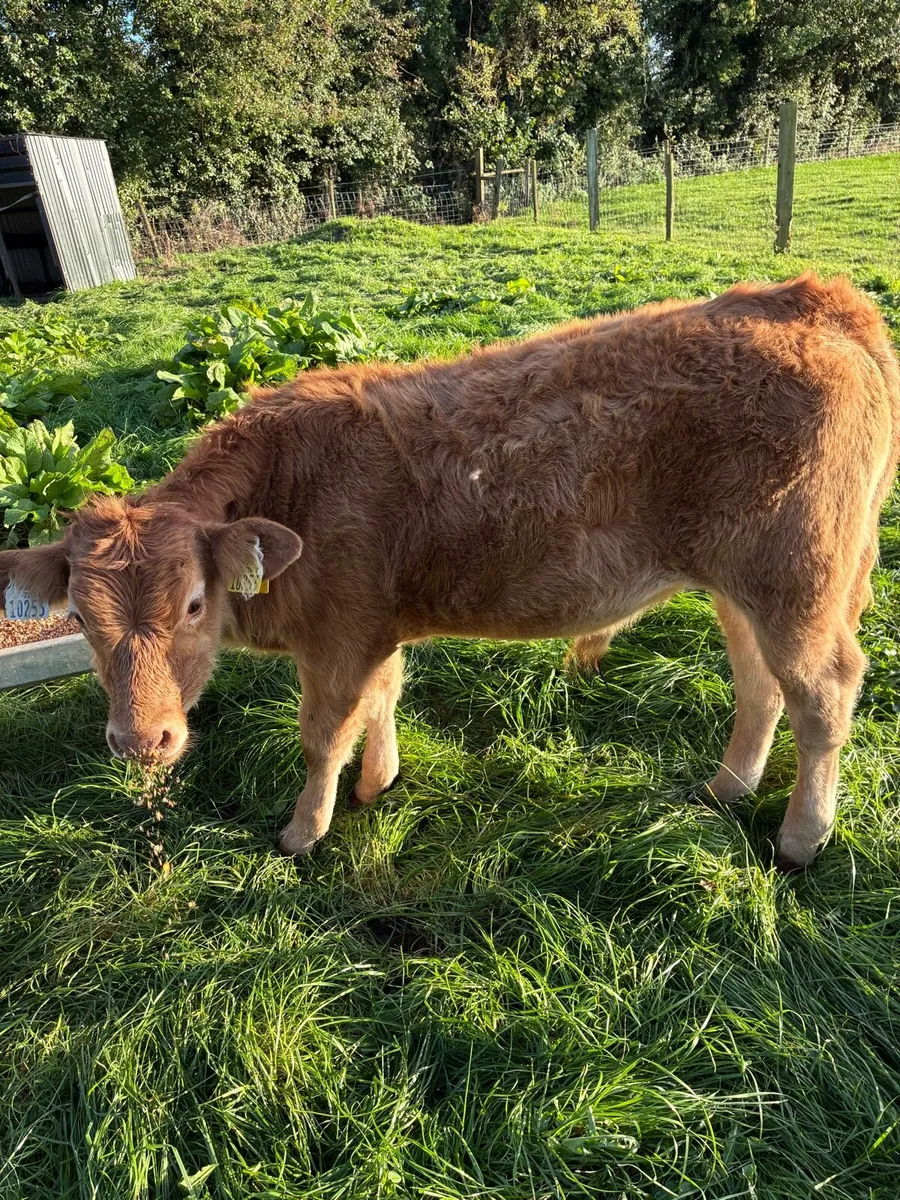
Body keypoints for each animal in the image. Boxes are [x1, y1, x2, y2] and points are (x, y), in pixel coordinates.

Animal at [1, 274, 897, 871]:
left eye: (193, 604)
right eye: (81, 619)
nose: (140, 741)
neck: (294, 487)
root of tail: (811, 297)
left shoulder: (340, 639)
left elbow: (324, 734)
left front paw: (304, 832)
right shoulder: (375, 630)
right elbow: (382, 701)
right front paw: (378, 784)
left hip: (800, 582)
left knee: (823, 694)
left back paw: (801, 837)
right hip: (742, 589)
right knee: (760, 684)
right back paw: (726, 789)